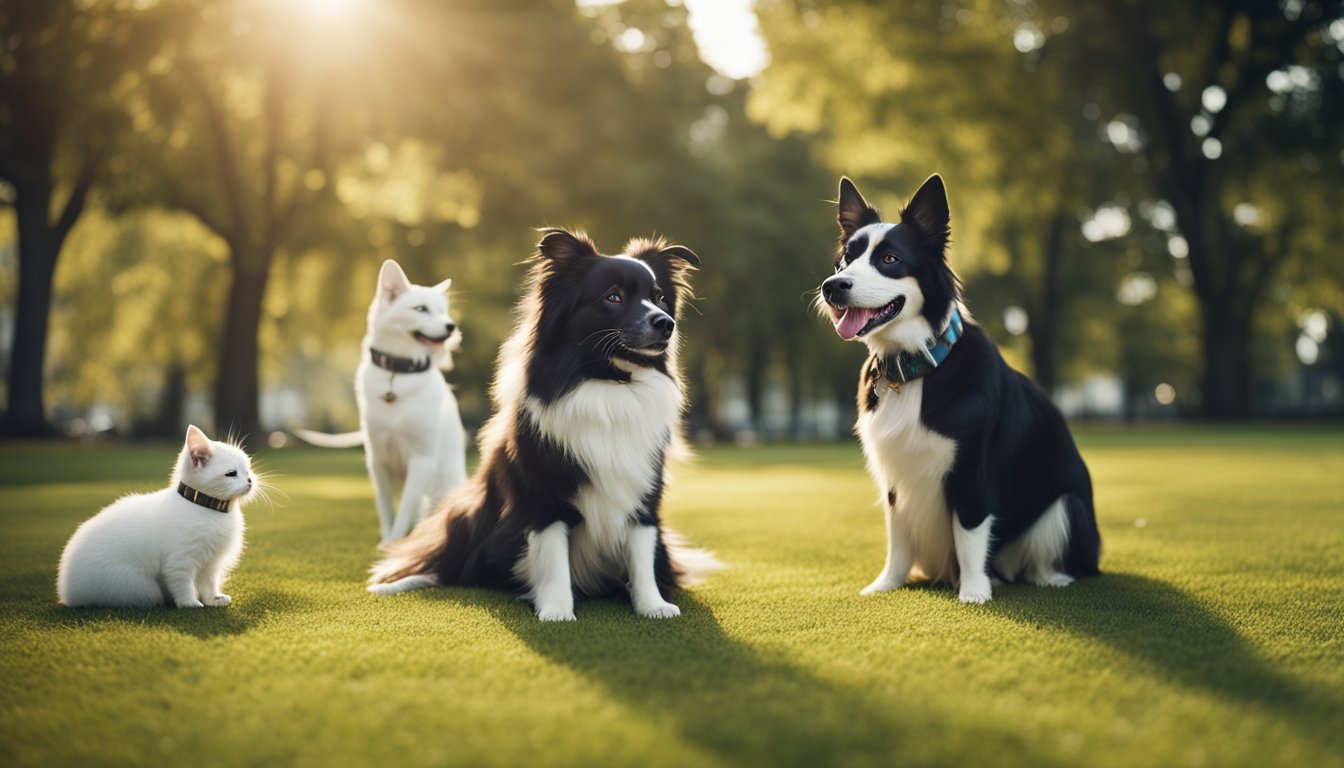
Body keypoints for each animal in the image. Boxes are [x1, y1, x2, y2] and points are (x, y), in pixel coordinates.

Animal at [59, 425, 256, 610]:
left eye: (248, 470)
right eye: (232, 473)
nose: (250, 481)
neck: (206, 508)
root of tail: (66, 592)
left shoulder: (211, 562)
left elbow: (208, 583)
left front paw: (213, 600)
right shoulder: (180, 560)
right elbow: (183, 583)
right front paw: (190, 603)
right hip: (140, 586)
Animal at [297, 259, 470, 546]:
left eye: (444, 311)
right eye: (421, 309)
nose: (451, 326)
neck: (397, 376)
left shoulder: (421, 459)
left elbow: (405, 508)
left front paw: (395, 542)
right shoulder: (377, 461)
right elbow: (386, 507)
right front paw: (386, 539)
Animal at [368, 227, 720, 618]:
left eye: (659, 298)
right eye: (613, 297)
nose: (666, 323)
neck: (607, 383)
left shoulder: (643, 489)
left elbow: (642, 550)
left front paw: (652, 604)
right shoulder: (540, 496)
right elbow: (553, 557)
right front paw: (556, 610)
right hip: (462, 515)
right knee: (445, 565)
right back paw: (398, 582)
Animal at [811, 177, 1096, 605]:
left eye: (890, 259)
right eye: (845, 260)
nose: (832, 287)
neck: (913, 366)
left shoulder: (972, 471)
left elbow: (969, 533)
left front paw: (974, 591)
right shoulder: (896, 476)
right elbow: (897, 538)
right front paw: (886, 584)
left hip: (1067, 507)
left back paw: (1048, 578)